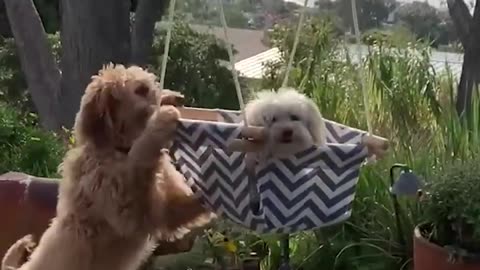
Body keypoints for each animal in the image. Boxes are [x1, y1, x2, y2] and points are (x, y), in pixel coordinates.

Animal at [1, 63, 216, 270]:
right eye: (141, 89)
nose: (180, 99)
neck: (118, 149)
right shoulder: (126, 208)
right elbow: (139, 163)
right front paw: (162, 120)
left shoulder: (164, 211)